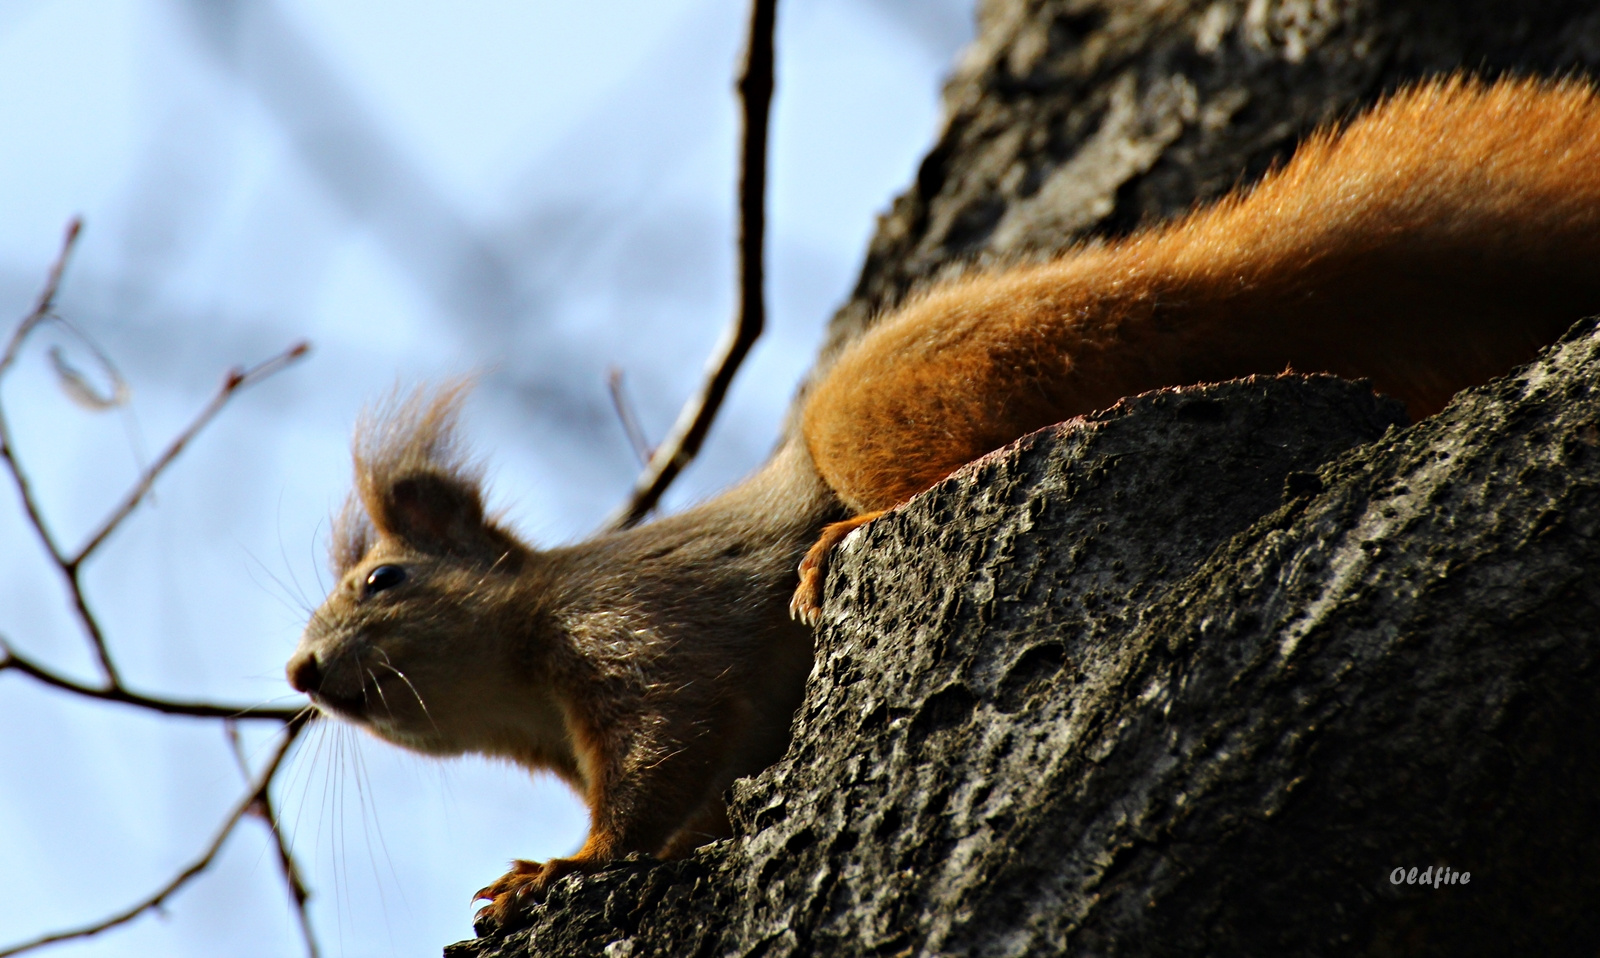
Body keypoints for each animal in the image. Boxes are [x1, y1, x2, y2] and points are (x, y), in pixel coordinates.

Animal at [281, 76, 1600, 934]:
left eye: (384, 579)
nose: (300, 672)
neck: (521, 677)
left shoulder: (634, 628)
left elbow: (659, 754)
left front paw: (558, 870)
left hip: (893, 408)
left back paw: (839, 542)